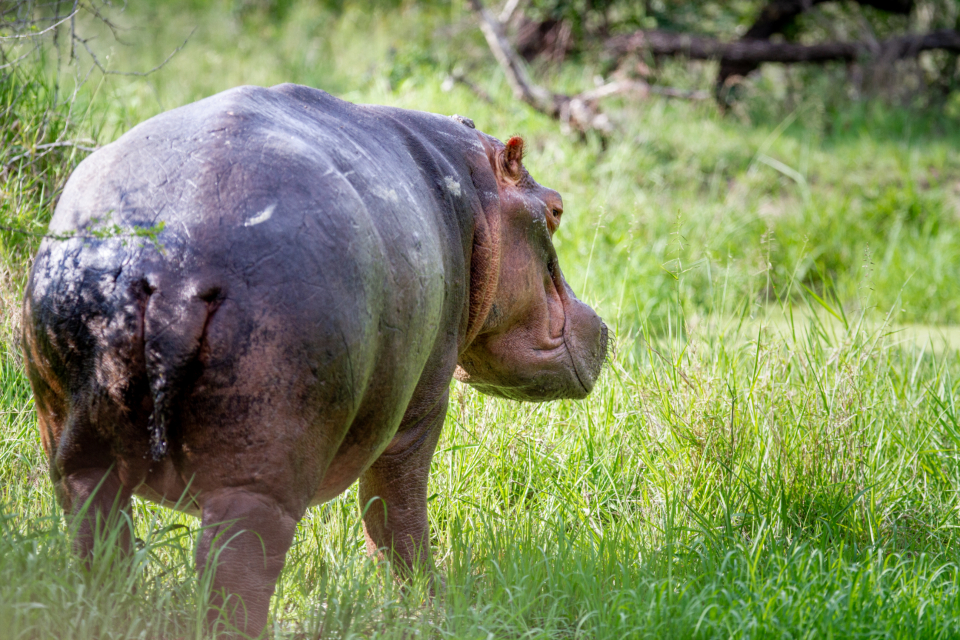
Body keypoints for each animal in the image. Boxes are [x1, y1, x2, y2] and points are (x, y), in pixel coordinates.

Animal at [20, 84, 608, 636]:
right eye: (556, 210)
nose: (603, 325)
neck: (475, 191)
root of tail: (174, 272)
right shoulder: (417, 411)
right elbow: (396, 515)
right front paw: (430, 605)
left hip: (78, 443)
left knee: (98, 541)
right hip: (259, 475)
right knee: (236, 578)